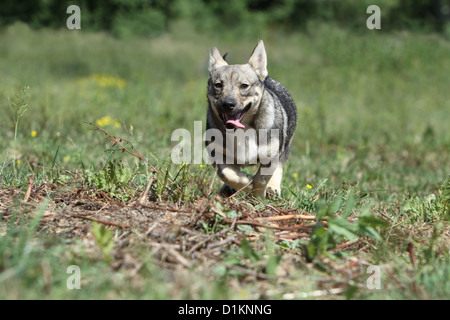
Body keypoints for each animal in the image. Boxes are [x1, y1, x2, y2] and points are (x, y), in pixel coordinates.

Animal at [206, 39, 298, 198]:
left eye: (244, 86)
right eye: (218, 85)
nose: (228, 104)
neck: (242, 130)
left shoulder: (271, 155)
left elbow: (261, 179)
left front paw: (258, 196)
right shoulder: (217, 153)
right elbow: (226, 173)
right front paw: (245, 182)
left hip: (285, 145)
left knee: (280, 165)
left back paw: (273, 188)